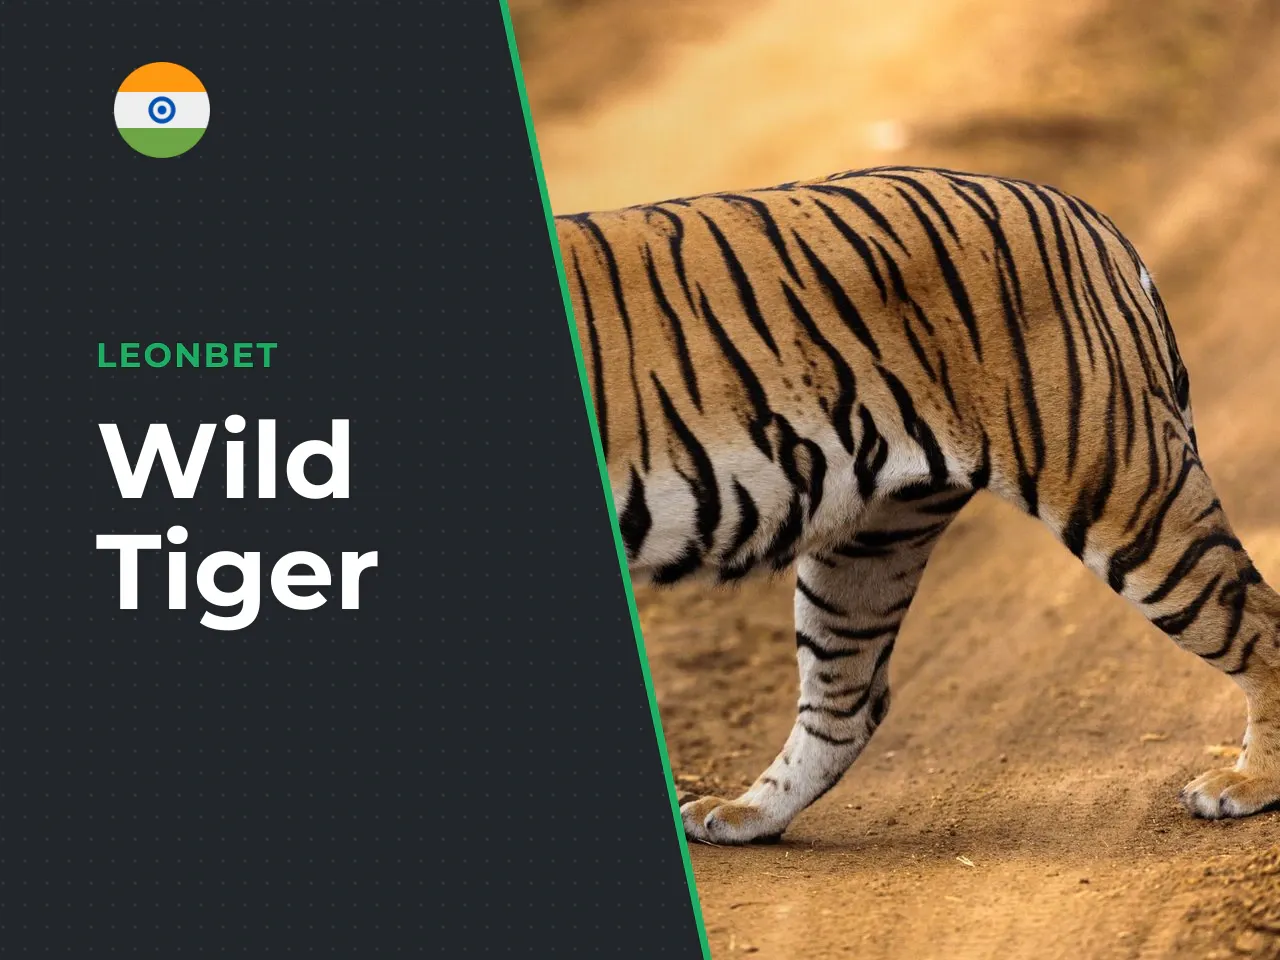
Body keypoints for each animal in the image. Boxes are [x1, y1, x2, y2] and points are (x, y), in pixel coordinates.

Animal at [554, 164, 1280, 846]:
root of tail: (1086, 216)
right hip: (870, 543)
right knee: (848, 703)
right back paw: (747, 814)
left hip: (1121, 489)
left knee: (1261, 622)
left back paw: (1246, 785)